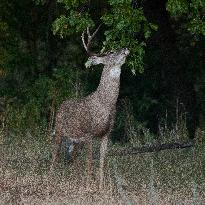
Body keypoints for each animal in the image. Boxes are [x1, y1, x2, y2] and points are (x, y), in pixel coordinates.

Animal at [52, 25, 130, 189]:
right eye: (111, 52)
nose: (126, 48)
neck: (105, 104)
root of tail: (62, 104)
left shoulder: (106, 133)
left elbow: (102, 162)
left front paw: (100, 186)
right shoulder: (89, 133)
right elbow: (89, 162)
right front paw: (89, 186)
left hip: (75, 140)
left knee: (73, 157)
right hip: (60, 129)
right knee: (55, 153)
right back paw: (51, 176)